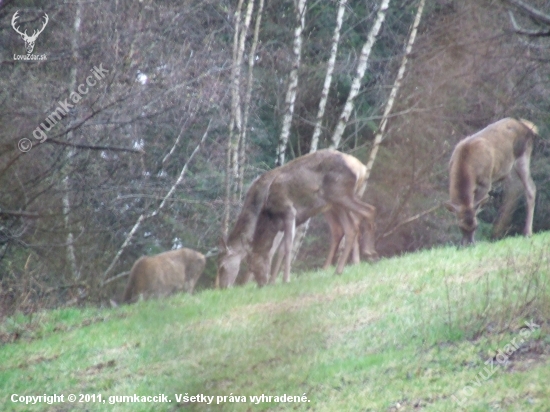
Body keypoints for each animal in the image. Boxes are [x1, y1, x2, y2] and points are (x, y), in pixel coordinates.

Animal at [218, 147, 378, 286]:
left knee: (368, 211)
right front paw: (273, 280)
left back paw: (368, 253)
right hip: (333, 203)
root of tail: (362, 168)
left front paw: (284, 279)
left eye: (222, 267)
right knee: (347, 228)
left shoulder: (289, 212)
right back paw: (337, 269)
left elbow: (282, 248)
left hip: (340, 195)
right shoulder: (290, 222)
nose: (222, 287)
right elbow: (280, 249)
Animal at [444, 116, 540, 245]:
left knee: (530, 188)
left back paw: (527, 232)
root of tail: (528, 127)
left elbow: (478, 206)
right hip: (507, 168)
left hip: (522, 155)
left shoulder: (485, 182)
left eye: (476, 226)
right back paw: (498, 230)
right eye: (460, 227)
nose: (469, 244)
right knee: (514, 188)